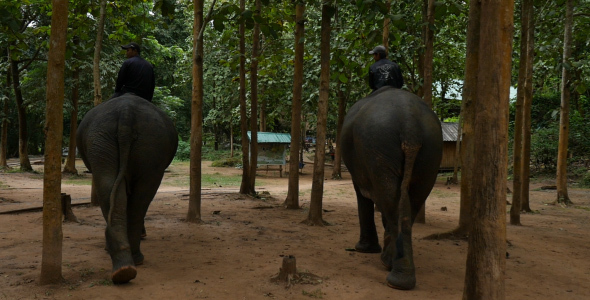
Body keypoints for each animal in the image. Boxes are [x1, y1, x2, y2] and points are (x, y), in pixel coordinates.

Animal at [77, 94, 178, 284]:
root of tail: (126, 112)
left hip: (107, 139)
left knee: (114, 189)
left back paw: (125, 266)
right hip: (140, 140)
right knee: (134, 194)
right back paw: (126, 267)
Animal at [340, 86, 442, 290]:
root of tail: (410, 123)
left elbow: (362, 193)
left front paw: (363, 250)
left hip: (378, 143)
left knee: (390, 198)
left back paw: (395, 277)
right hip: (431, 151)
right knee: (411, 199)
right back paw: (394, 267)